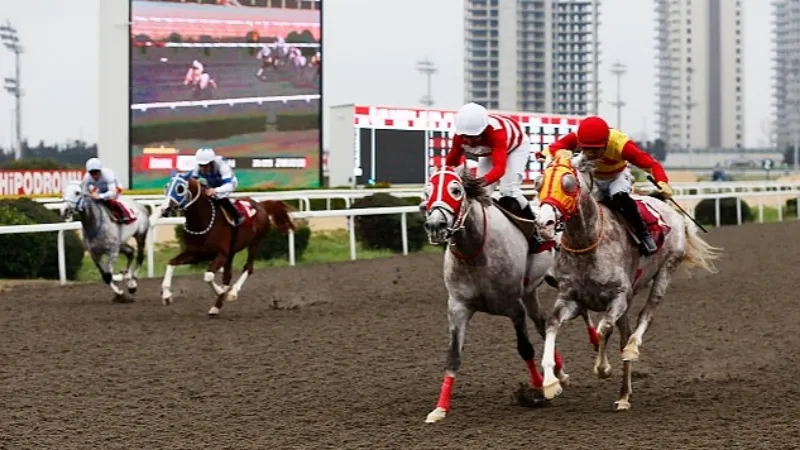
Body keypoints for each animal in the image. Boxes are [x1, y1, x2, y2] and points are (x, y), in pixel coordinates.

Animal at [155, 173, 296, 316]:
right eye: (166, 187)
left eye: (180, 188)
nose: (165, 209)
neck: (203, 221)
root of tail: (260, 205)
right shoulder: (195, 254)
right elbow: (171, 263)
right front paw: (166, 295)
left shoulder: (222, 254)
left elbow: (208, 276)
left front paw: (221, 291)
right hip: (232, 253)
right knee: (227, 277)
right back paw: (216, 307)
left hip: (255, 243)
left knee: (248, 268)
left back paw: (233, 292)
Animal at [532, 153, 720, 410]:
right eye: (538, 183)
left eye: (568, 183)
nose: (544, 224)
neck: (588, 244)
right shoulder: (572, 299)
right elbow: (552, 324)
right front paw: (551, 383)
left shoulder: (619, 297)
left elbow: (604, 328)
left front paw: (602, 368)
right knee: (624, 334)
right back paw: (623, 395)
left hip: (666, 270)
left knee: (645, 316)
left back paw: (632, 349)